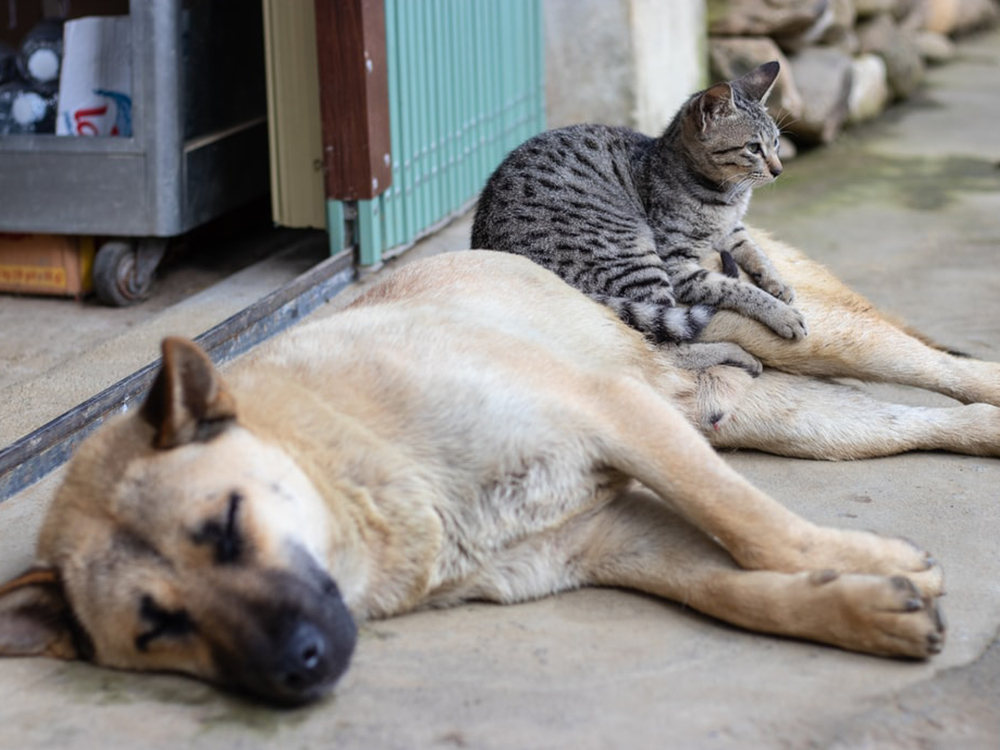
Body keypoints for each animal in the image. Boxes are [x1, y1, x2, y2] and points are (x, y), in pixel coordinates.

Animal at [3, 238, 996, 708]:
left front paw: (871, 564)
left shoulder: (616, 415)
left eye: (225, 525)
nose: (299, 669)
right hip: (799, 425)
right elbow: (733, 588)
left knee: (942, 370)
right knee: (926, 421)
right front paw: (864, 604)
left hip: (807, 336)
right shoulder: (613, 538)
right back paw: (984, 434)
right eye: (156, 628)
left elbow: (750, 523)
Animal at [472, 61, 808, 350]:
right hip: (635, 256)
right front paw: (780, 312)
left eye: (776, 143)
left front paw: (778, 283)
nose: (779, 169)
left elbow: (755, 251)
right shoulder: (677, 264)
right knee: (668, 342)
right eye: (753, 148)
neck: (727, 198)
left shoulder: (733, 229)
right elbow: (736, 288)